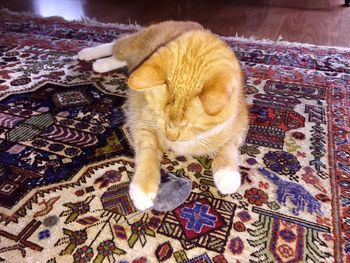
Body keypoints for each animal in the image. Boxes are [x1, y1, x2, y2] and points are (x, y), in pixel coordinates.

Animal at [79, 20, 249, 211]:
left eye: (188, 125)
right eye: (161, 117)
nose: (171, 138)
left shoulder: (241, 121)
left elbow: (229, 146)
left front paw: (227, 174)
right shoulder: (145, 124)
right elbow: (148, 153)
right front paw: (143, 187)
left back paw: (103, 63)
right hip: (135, 44)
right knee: (116, 45)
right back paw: (90, 54)